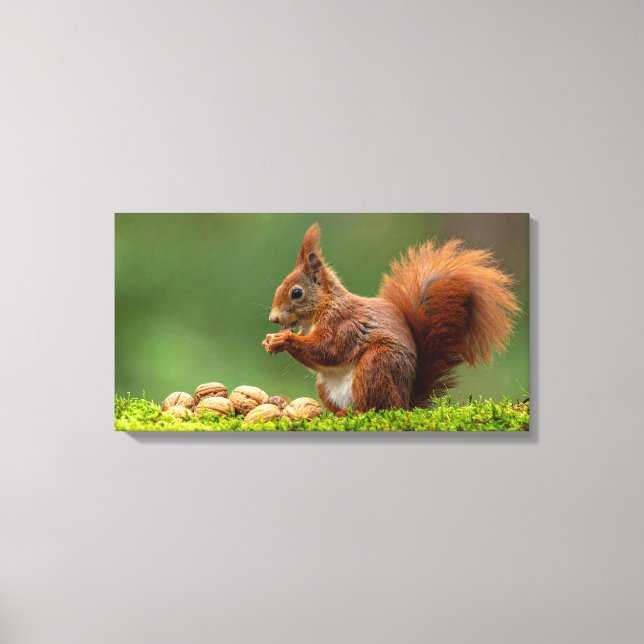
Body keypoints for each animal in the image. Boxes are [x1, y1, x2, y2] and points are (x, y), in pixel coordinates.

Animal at [262, 224, 520, 413]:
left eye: (296, 293)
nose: (273, 318)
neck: (322, 309)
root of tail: (405, 402)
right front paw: (271, 340)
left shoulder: (343, 323)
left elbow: (329, 349)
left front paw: (283, 340)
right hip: (327, 387)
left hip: (377, 364)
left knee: (377, 408)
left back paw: (354, 413)